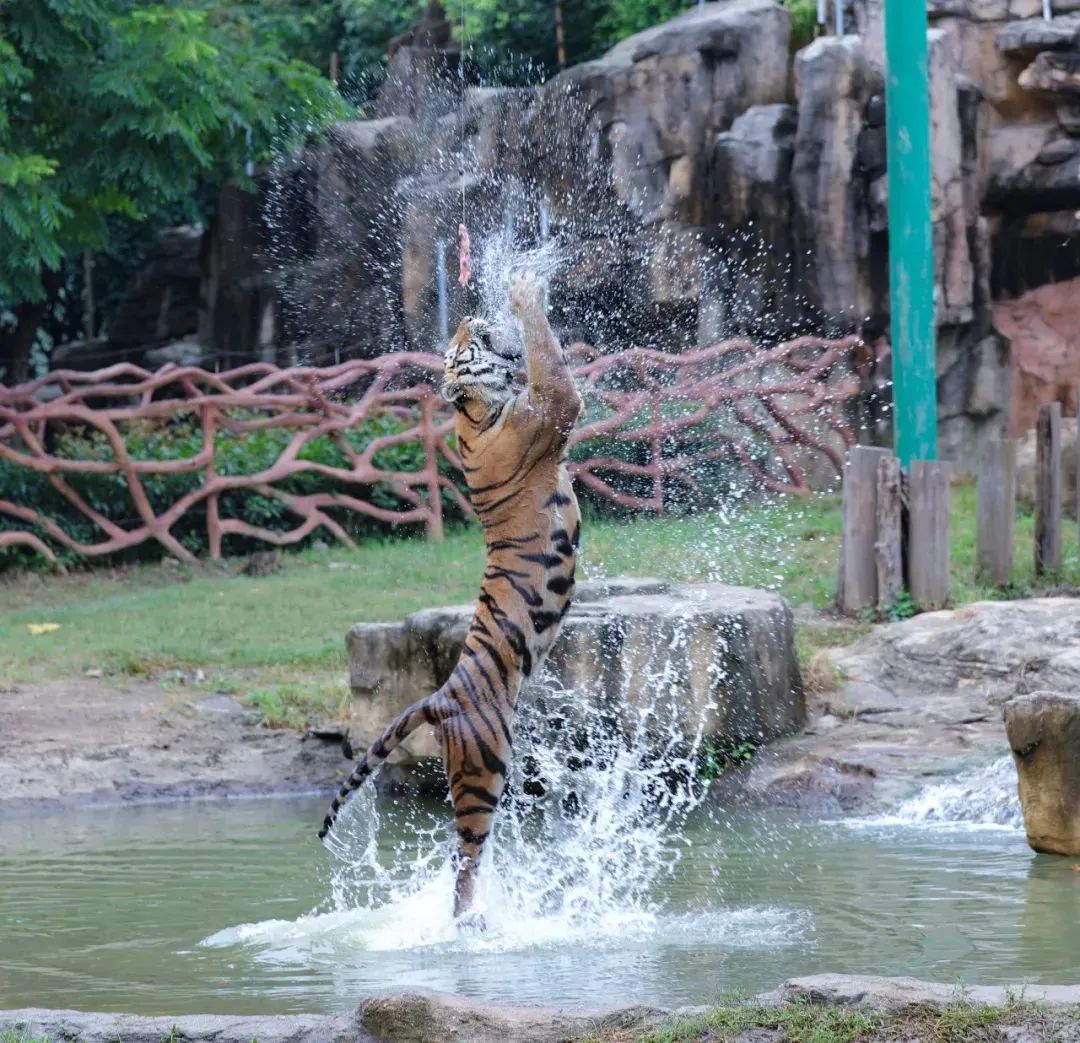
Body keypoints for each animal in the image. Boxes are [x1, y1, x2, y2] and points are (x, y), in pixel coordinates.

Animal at [315, 271, 587, 924]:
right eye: (460, 344)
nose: (466, 318)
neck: (476, 408)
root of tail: (438, 697)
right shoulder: (557, 404)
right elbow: (547, 352)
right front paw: (524, 288)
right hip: (482, 769)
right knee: (464, 861)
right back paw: (473, 925)